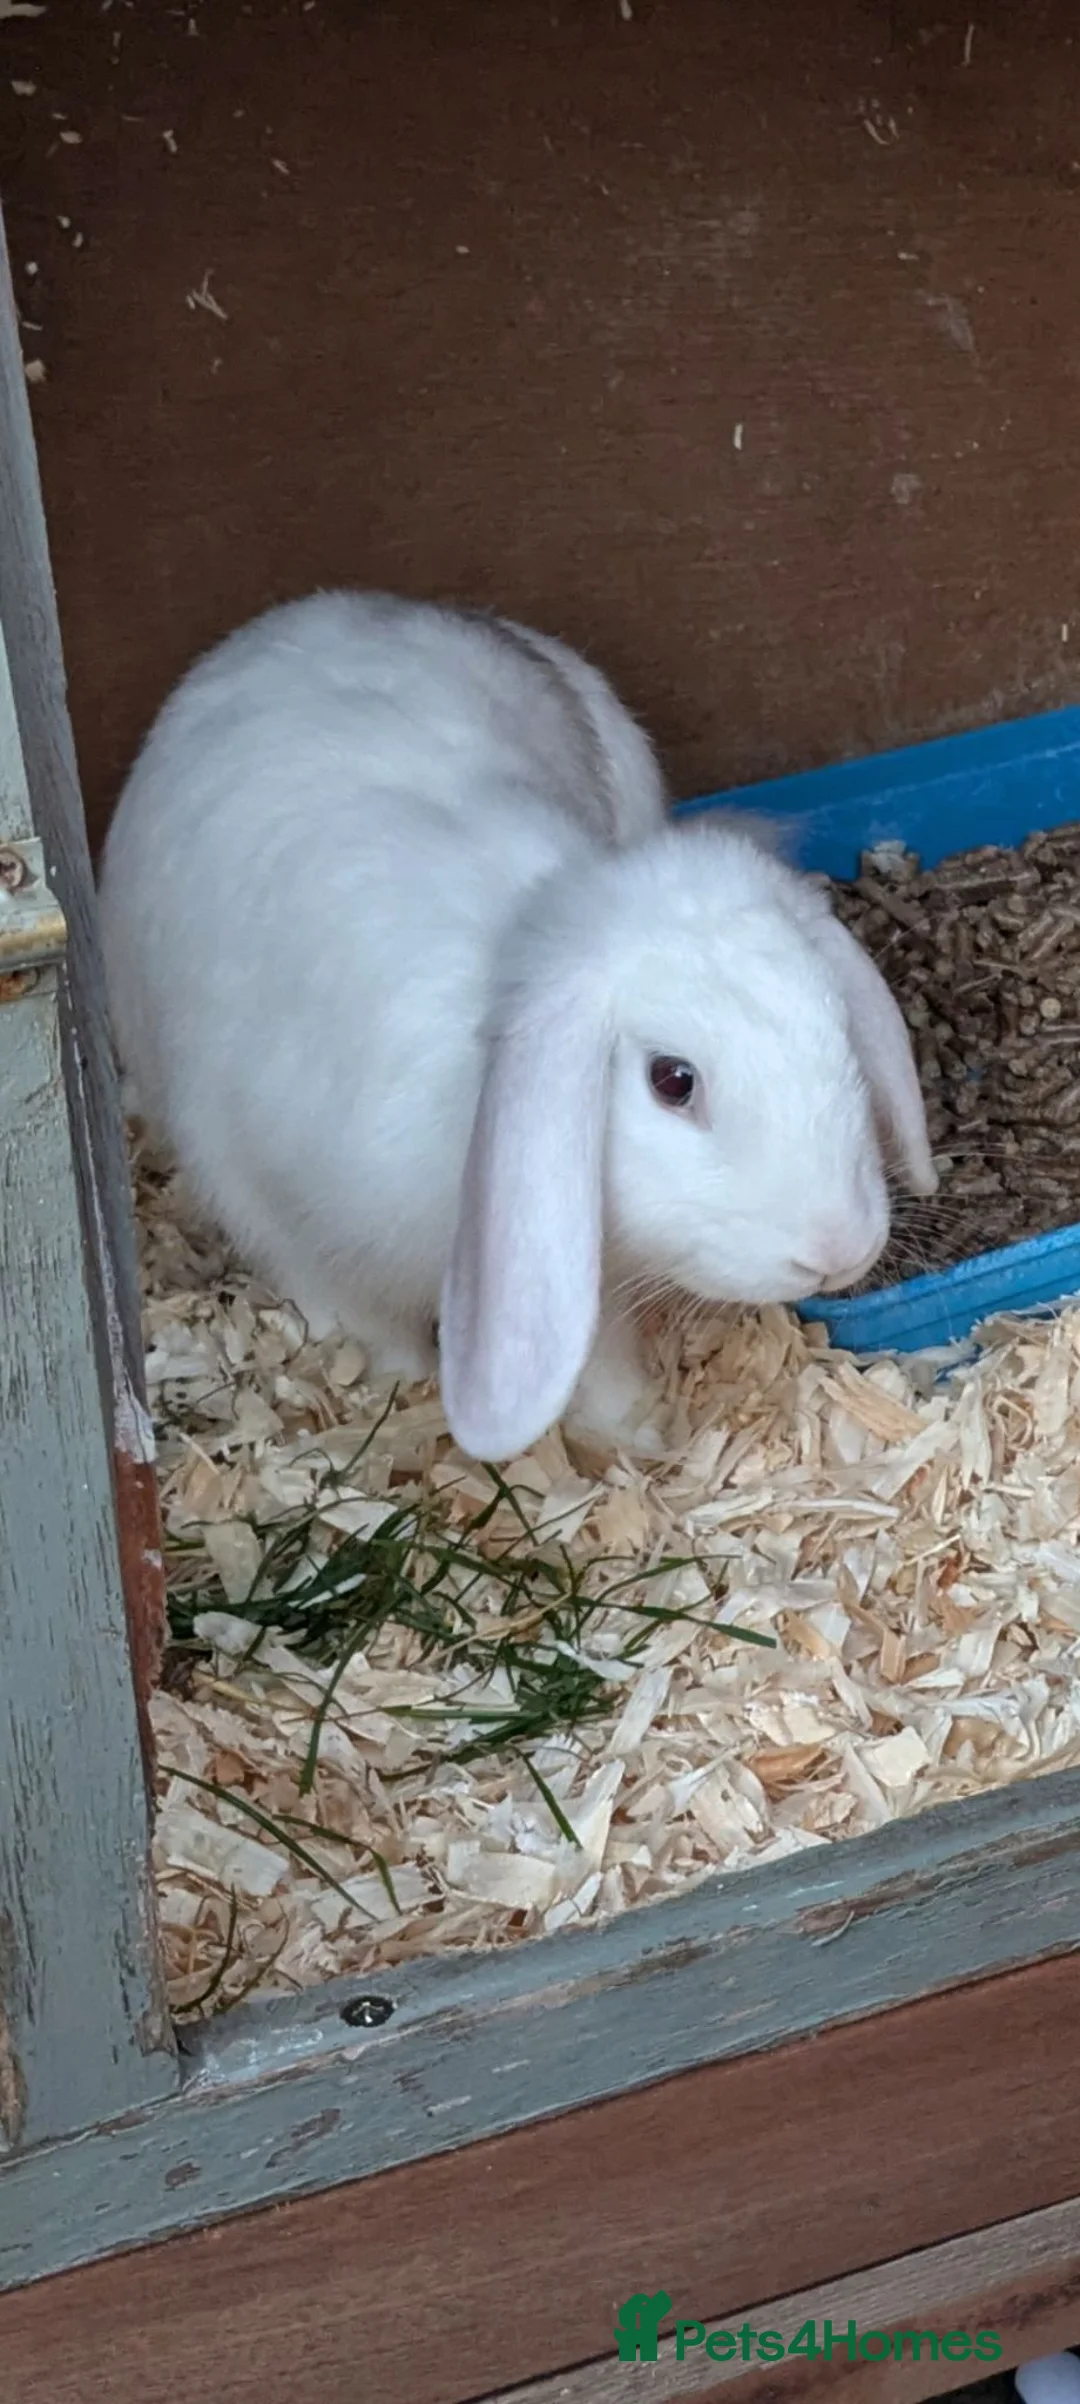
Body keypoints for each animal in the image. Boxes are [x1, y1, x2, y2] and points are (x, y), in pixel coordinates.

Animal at [97, 587, 937, 1464]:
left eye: (840, 1033)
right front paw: (400, 1383)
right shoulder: (275, 1199)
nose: (838, 1249)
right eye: (673, 1081)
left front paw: (634, 1431)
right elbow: (351, 1311)